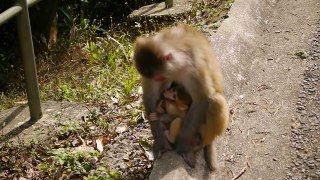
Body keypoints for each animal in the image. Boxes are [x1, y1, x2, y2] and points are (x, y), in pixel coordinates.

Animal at [133, 23, 230, 172]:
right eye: (155, 78)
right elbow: (150, 97)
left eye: (159, 77)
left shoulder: (193, 68)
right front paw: (161, 143)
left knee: (215, 102)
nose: (161, 81)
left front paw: (183, 146)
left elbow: (202, 99)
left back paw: (198, 144)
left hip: (200, 130)